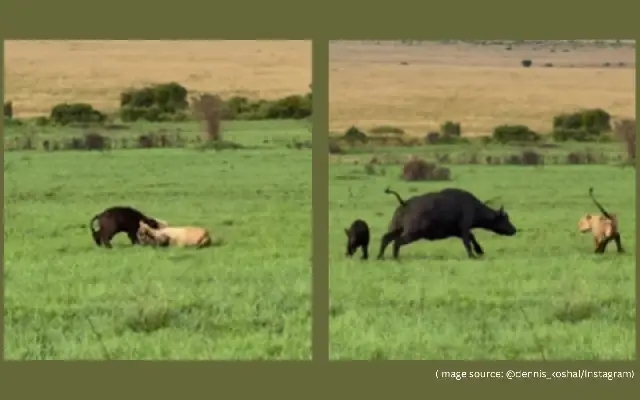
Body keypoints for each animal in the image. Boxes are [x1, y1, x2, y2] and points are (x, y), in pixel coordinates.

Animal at [377, 187, 517, 260]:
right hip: (413, 233)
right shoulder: (464, 228)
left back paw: (380, 257)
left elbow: (471, 237)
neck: (473, 206)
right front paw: (472, 255)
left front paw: (480, 251)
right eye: (505, 219)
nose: (514, 230)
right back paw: (395, 257)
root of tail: (405, 203)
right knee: (397, 242)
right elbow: (468, 241)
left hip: (396, 228)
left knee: (385, 238)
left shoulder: (458, 231)